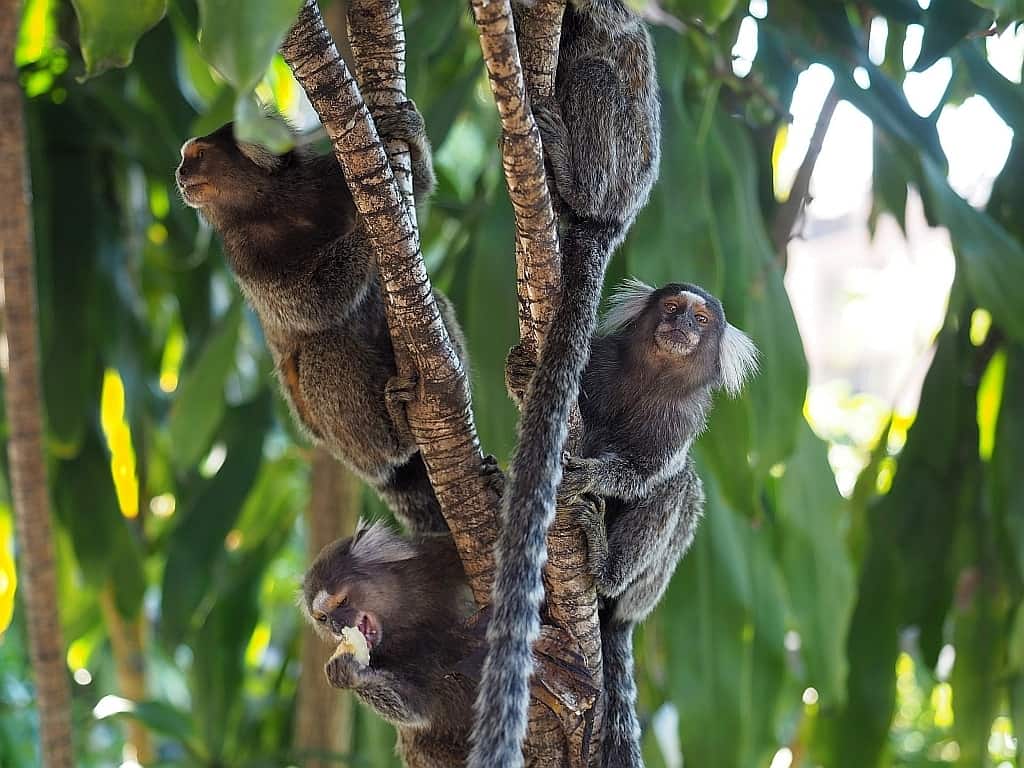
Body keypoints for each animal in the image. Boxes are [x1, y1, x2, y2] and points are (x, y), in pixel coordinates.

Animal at [175, 105, 469, 535]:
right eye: (186, 158)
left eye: (197, 156)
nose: (178, 172)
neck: (275, 206)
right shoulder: (245, 258)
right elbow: (313, 303)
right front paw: (367, 225)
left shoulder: (329, 177)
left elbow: (422, 185)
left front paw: (408, 134)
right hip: (341, 442)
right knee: (325, 349)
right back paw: (399, 436)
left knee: (436, 305)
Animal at [301, 521, 481, 767]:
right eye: (323, 618)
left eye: (342, 602)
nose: (337, 626)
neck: (407, 621)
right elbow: (419, 706)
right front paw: (348, 673)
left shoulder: (443, 557)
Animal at [556, 279, 758, 766]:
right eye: (671, 308)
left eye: (700, 320)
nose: (682, 324)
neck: (651, 379)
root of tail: (621, 619)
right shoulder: (598, 357)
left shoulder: (683, 420)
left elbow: (644, 472)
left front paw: (592, 476)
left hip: (644, 588)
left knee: (678, 487)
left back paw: (606, 567)